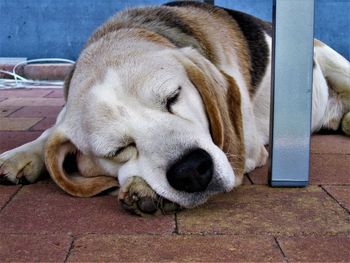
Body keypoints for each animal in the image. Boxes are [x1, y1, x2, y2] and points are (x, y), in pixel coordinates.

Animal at [0, 1, 350, 217]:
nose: (192, 170)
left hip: (334, 61)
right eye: (118, 149)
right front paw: (21, 155)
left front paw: (146, 190)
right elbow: (50, 130)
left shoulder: (248, 144)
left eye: (173, 97)